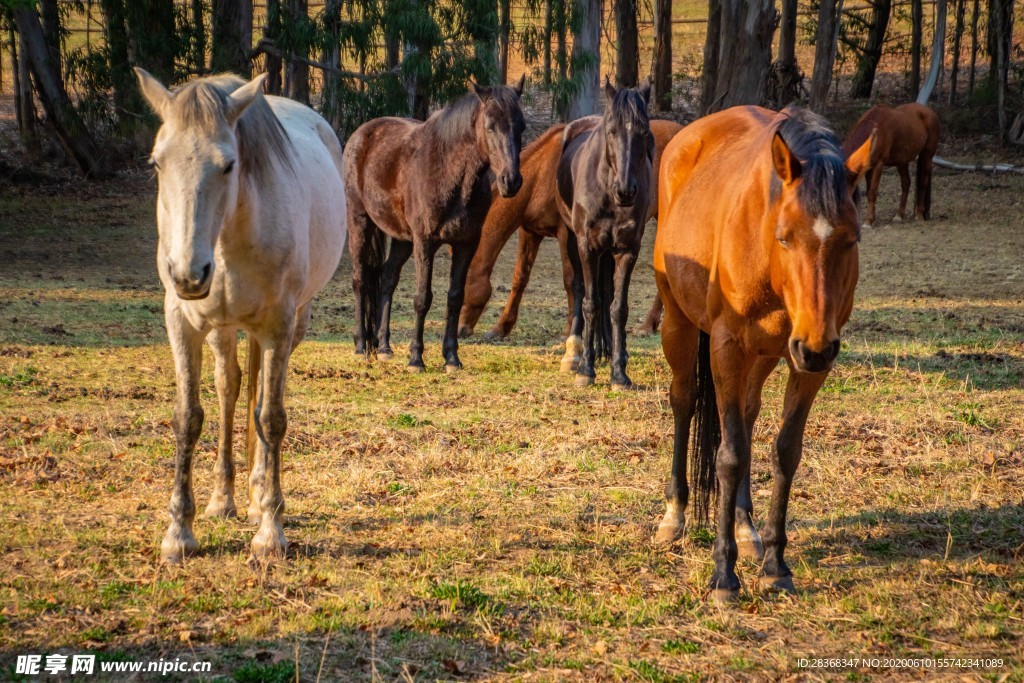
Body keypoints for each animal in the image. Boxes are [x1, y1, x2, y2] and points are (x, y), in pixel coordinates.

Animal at [134, 69, 347, 562]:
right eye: (157, 164)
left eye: (228, 165)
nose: (188, 274)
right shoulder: (183, 324)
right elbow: (188, 417)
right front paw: (179, 532)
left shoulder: (277, 326)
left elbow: (270, 418)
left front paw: (270, 530)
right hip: (223, 330)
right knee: (230, 388)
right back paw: (224, 499)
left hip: (291, 325)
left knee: (261, 397)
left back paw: (255, 499)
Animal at [344, 77, 526, 372]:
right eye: (490, 126)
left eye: (521, 126)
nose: (511, 181)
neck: (449, 172)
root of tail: (362, 134)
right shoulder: (425, 242)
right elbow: (423, 299)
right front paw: (416, 358)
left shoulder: (466, 244)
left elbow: (455, 297)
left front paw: (451, 357)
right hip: (359, 222)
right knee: (360, 279)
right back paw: (361, 346)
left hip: (402, 239)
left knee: (387, 278)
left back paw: (383, 347)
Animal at [456, 119, 682, 341]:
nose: (459, 329)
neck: (542, 174)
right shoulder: (530, 232)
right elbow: (520, 277)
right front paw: (500, 327)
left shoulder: (566, 232)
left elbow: (570, 279)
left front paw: (569, 331)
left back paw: (648, 325)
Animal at [556, 79, 654, 389]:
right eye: (611, 131)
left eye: (644, 132)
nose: (626, 191)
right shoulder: (587, 247)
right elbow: (591, 303)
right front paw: (586, 370)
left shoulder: (627, 249)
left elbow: (617, 307)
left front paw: (619, 372)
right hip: (570, 239)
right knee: (578, 288)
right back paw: (575, 354)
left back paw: (610, 350)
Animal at [653, 105, 872, 601]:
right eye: (785, 236)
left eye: (852, 239)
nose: (816, 346)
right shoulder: (726, 347)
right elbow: (730, 455)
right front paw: (724, 574)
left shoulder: (808, 364)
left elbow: (785, 451)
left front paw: (775, 563)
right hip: (679, 323)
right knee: (684, 401)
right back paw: (675, 515)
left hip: (767, 354)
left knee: (748, 415)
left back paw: (744, 525)